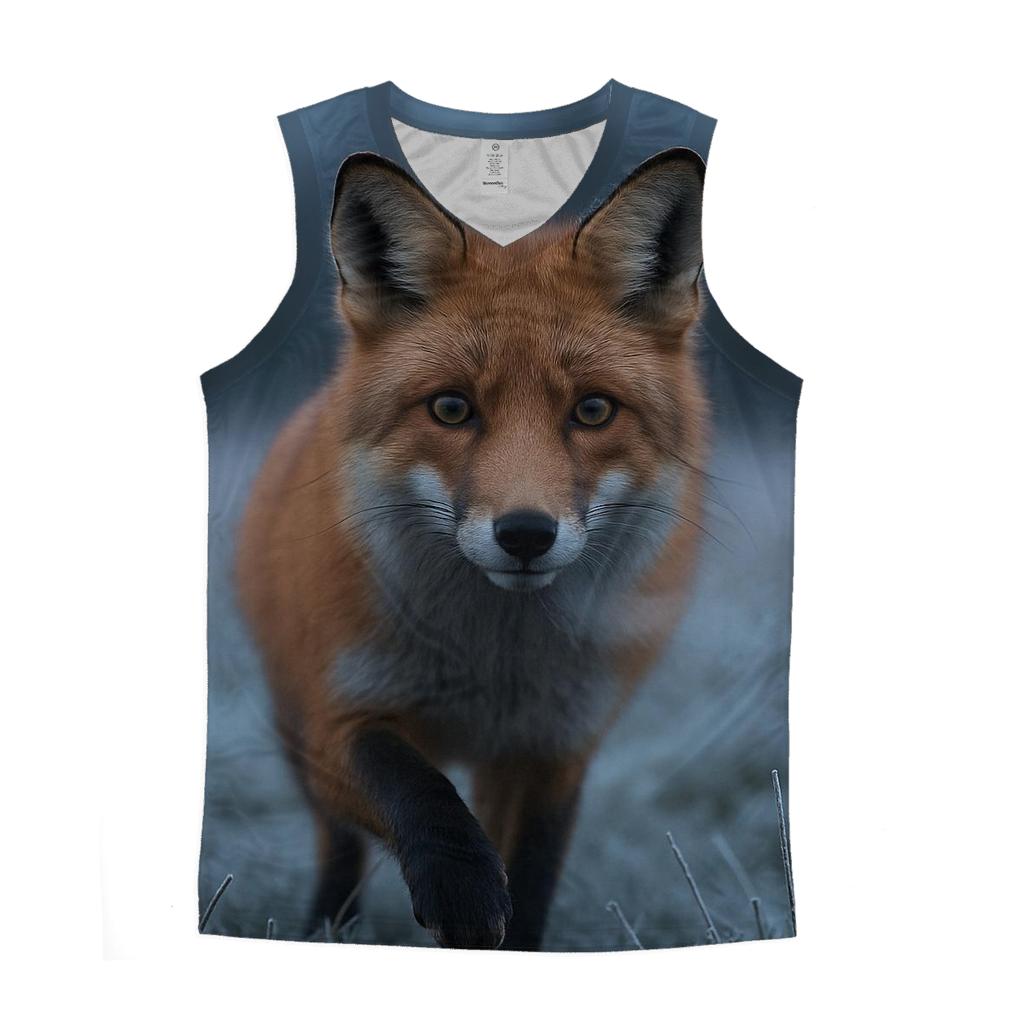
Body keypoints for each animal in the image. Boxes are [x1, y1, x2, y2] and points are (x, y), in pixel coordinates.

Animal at [236, 146, 709, 951]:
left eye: (593, 410)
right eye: (452, 408)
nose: (524, 534)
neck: (492, 664)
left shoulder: (554, 749)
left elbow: (534, 877)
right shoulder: (336, 717)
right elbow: (415, 786)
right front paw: (459, 885)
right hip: (291, 715)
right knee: (339, 847)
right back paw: (327, 927)